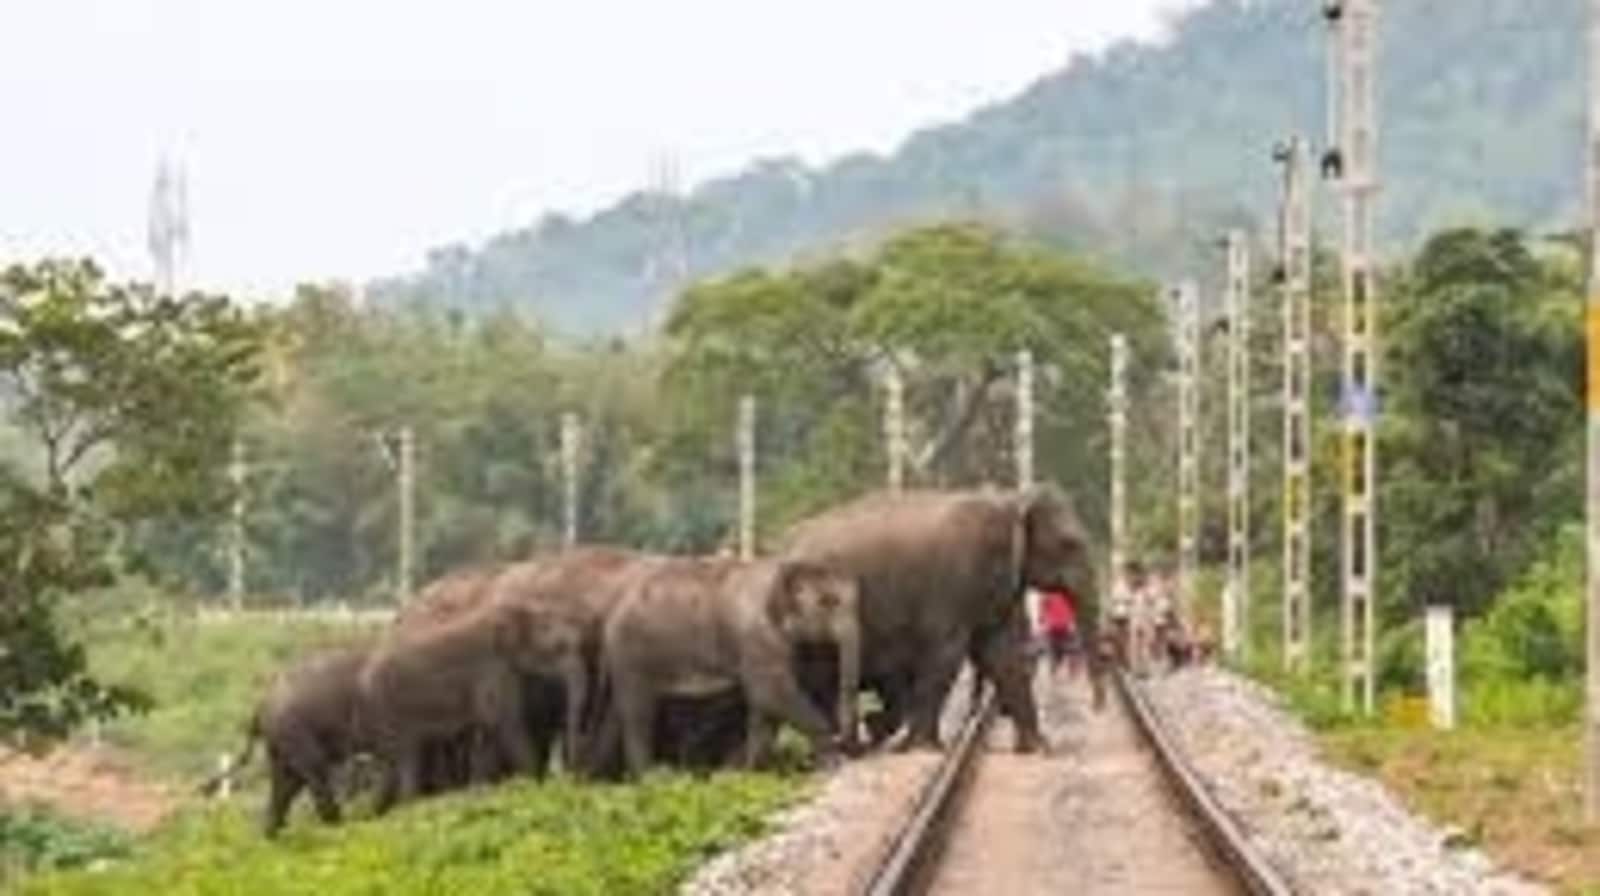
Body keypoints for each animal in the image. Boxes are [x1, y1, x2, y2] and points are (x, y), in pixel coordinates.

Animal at [360, 596, 586, 810]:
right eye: (559, 648)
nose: (570, 782)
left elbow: (487, 733)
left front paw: (481, 793)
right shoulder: (491, 668)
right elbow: (505, 725)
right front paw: (536, 787)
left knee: (396, 763)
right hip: (392, 710)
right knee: (407, 756)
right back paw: (410, 805)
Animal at [598, 556, 861, 777]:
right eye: (828, 602)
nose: (844, 741)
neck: (786, 566)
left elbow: (763, 708)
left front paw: (746, 773)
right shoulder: (756, 637)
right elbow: (770, 694)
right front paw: (832, 764)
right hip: (630, 656)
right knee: (639, 714)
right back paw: (654, 779)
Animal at [779, 486, 1100, 754]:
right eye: (1069, 544)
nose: (1099, 710)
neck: (1009, 500)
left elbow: (1002, 654)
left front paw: (1037, 749)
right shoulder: (954, 582)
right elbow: (948, 654)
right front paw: (923, 748)